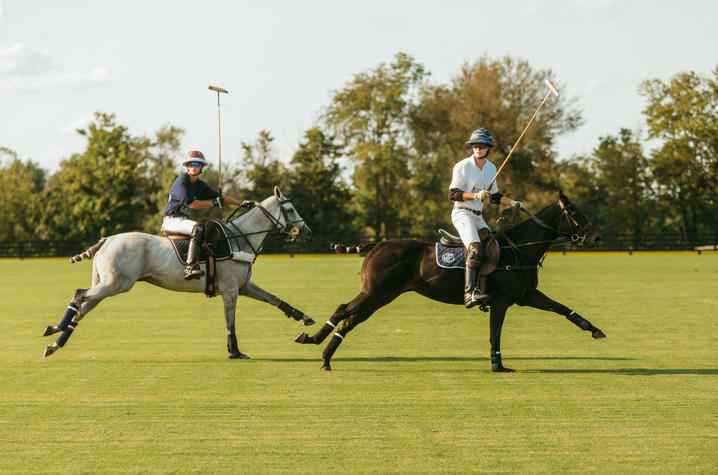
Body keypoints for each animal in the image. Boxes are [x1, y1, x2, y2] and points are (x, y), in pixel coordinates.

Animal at [44, 188, 316, 358]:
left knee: (83, 307)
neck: (240, 238)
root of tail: (106, 240)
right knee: (79, 295)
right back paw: (56, 331)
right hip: (116, 284)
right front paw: (234, 351)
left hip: (107, 284)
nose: (308, 232)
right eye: (291, 209)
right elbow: (230, 322)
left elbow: (274, 299)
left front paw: (303, 317)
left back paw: (55, 341)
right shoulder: (230, 290)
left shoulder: (244, 286)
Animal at [296, 192, 608, 374]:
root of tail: (375, 245)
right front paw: (497, 364)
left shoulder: (527, 295)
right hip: (375, 291)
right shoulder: (502, 301)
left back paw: (326, 358)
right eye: (576, 215)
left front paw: (595, 330)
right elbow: (495, 334)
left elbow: (563, 309)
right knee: (342, 310)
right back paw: (311, 340)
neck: (519, 250)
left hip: (381, 295)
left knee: (351, 319)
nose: (597, 238)